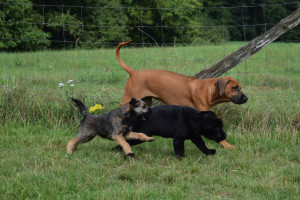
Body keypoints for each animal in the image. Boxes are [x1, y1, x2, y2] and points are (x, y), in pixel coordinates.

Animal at [116, 40, 247, 149]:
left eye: (240, 87)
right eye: (234, 88)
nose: (246, 98)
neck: (208, 89)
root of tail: (134, 73)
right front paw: (227, 145)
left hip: (145, 101)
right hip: (130, 98)